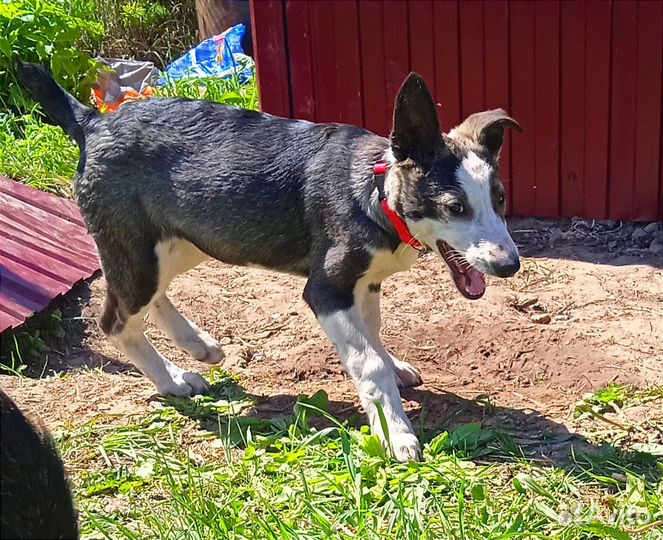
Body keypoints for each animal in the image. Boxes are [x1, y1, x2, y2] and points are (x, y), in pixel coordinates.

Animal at [16, 63, 524, 460]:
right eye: (455, 207)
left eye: (499, 199)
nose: (510, 266)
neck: (376, 192)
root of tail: (92, 122)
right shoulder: (327, 290)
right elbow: (366, 362)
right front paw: (395, 432)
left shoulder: (365, 283)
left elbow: (374, 334)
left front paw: (393, 368)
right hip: (138, 248)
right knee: (117, 320)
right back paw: (172, 381)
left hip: (183, 241)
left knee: (146, 298)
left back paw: (197, 348)